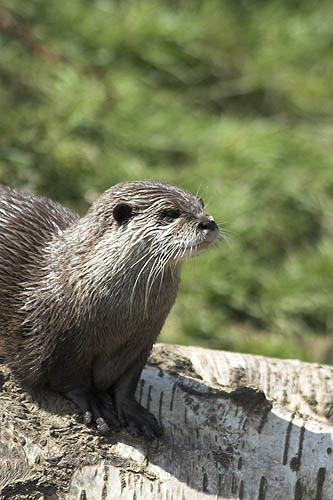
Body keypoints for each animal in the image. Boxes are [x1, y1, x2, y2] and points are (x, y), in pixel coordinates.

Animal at [0, 181, 218, 438]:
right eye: (170, 213)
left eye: (201, 204)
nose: (208, 222)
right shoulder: (59, 341)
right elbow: (70, 377)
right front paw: (95, 407)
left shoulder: (143, 341)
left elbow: (128, 381)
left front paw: (134, 412)